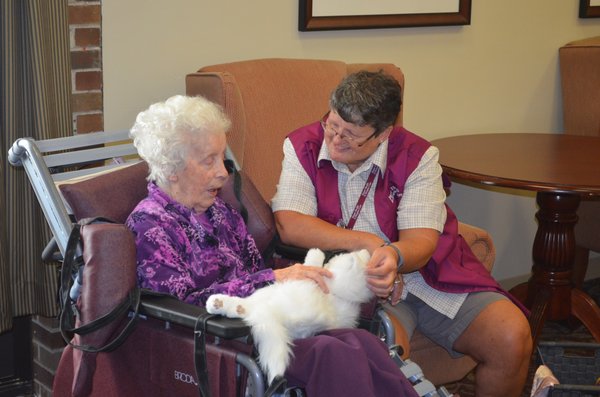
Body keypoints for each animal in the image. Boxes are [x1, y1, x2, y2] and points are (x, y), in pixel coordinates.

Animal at [206, 249, 376, 382]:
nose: (368, 251)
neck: (336, 293)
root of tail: (273, 314)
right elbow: (313, 264)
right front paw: (318, 253)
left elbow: (313, 262)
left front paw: (316, 253)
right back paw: (216, 303)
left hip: (265, 304)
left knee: (245, 308)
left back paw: (219, 304)